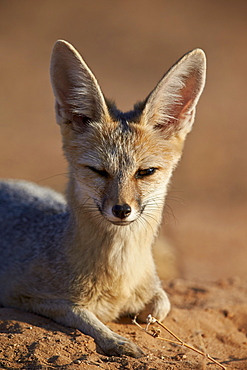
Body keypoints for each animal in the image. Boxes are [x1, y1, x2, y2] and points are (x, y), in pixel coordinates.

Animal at [0, 40, 206, 358]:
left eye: (146, 172)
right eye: (98, 171)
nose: (121, 209)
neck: (118, 276)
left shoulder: (155, 289)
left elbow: (161, 305)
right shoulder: (21, 294)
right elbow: (78, 312)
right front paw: (117, 340)